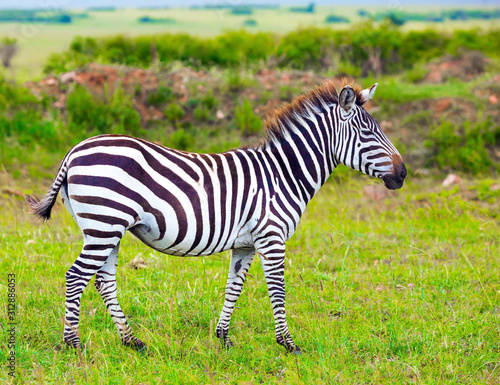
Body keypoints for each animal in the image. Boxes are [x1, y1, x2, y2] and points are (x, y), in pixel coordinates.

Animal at [27, 81, 406, 354]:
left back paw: (131, 341)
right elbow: (278, 289)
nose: (402, 174)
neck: (284, 173)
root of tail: (74, 151)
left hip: (106, 230)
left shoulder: (246, 244)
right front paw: (288, 344)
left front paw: (223, 337)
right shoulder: (272, 237)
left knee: (103, 281)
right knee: (76, 277)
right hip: (104, 225)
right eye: (368, 134)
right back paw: (73, 344)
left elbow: (233, 287)